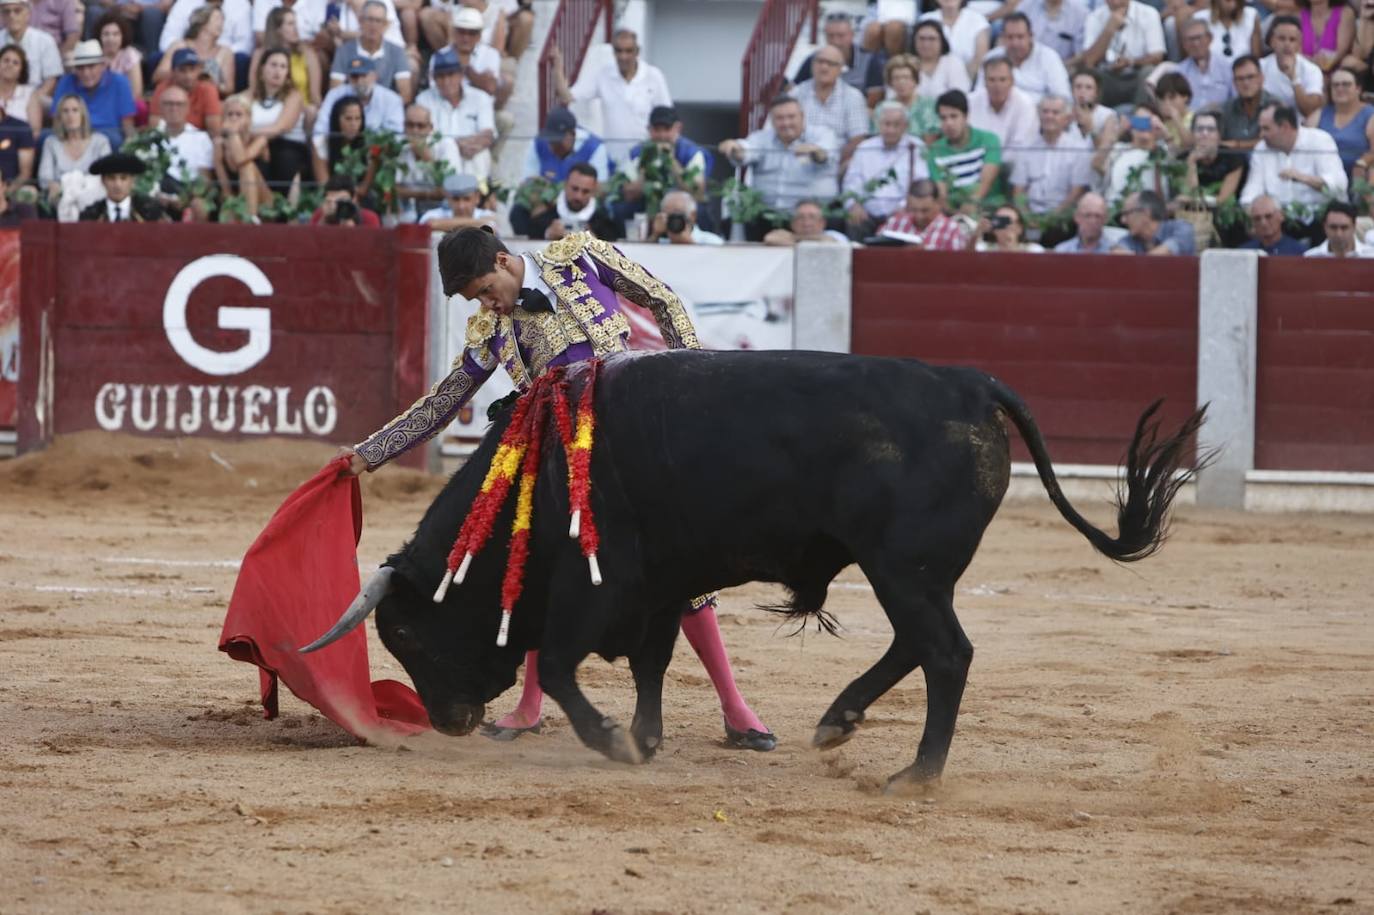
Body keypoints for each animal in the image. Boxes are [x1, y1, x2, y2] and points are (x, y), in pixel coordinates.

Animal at [303, 346, 1203, 785]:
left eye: (406, 636)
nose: (448, 719)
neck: (543, 468)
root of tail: (973, 385)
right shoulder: (660, 581)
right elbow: (655, 658)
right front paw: (646, 737)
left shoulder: (604, 579)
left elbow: (558, 662)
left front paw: (613, 741)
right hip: (911, 572)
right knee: (919, 645)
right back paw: (839, 720)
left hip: (902, 567)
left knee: (945, 652)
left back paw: (916, 772)